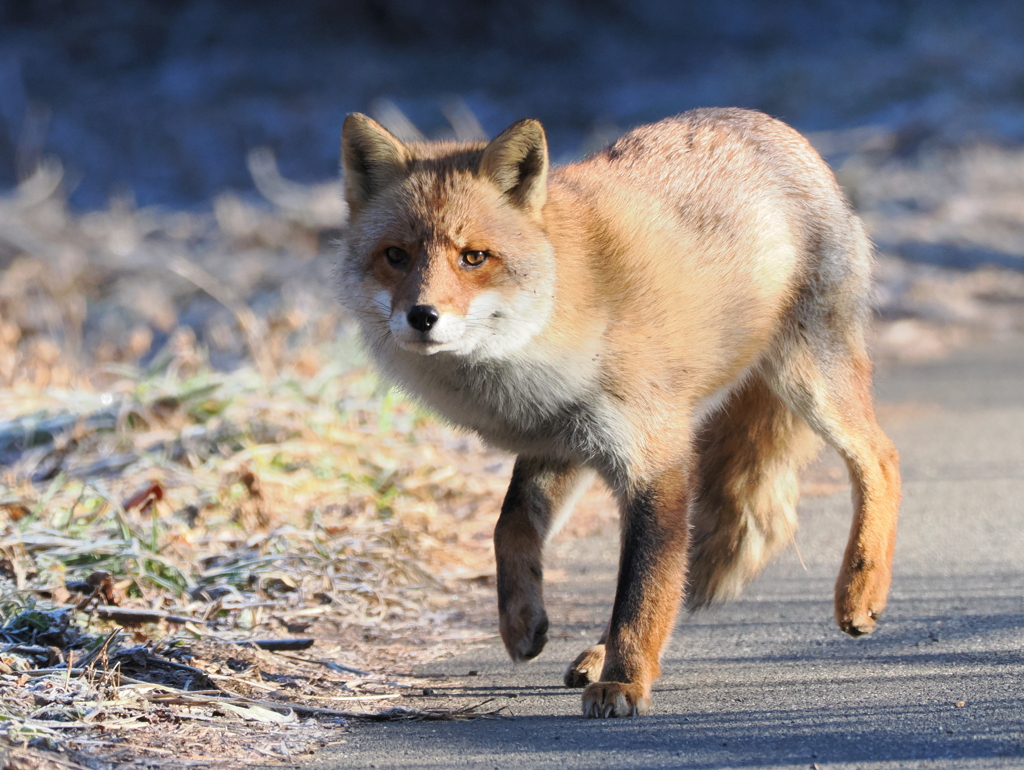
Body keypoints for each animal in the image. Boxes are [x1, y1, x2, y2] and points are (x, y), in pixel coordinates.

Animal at [335, 107, 897, 716]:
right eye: (396, 256)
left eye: (473, 257)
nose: (422, 316)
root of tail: (773, 127)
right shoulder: (560, 441)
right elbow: (509, 528)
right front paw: (522, 622)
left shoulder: (655, 458)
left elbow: (641, 588)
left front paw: (626, 681)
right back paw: (593, 653)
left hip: (809, 380)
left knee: (881, 459)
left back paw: (860, 590)